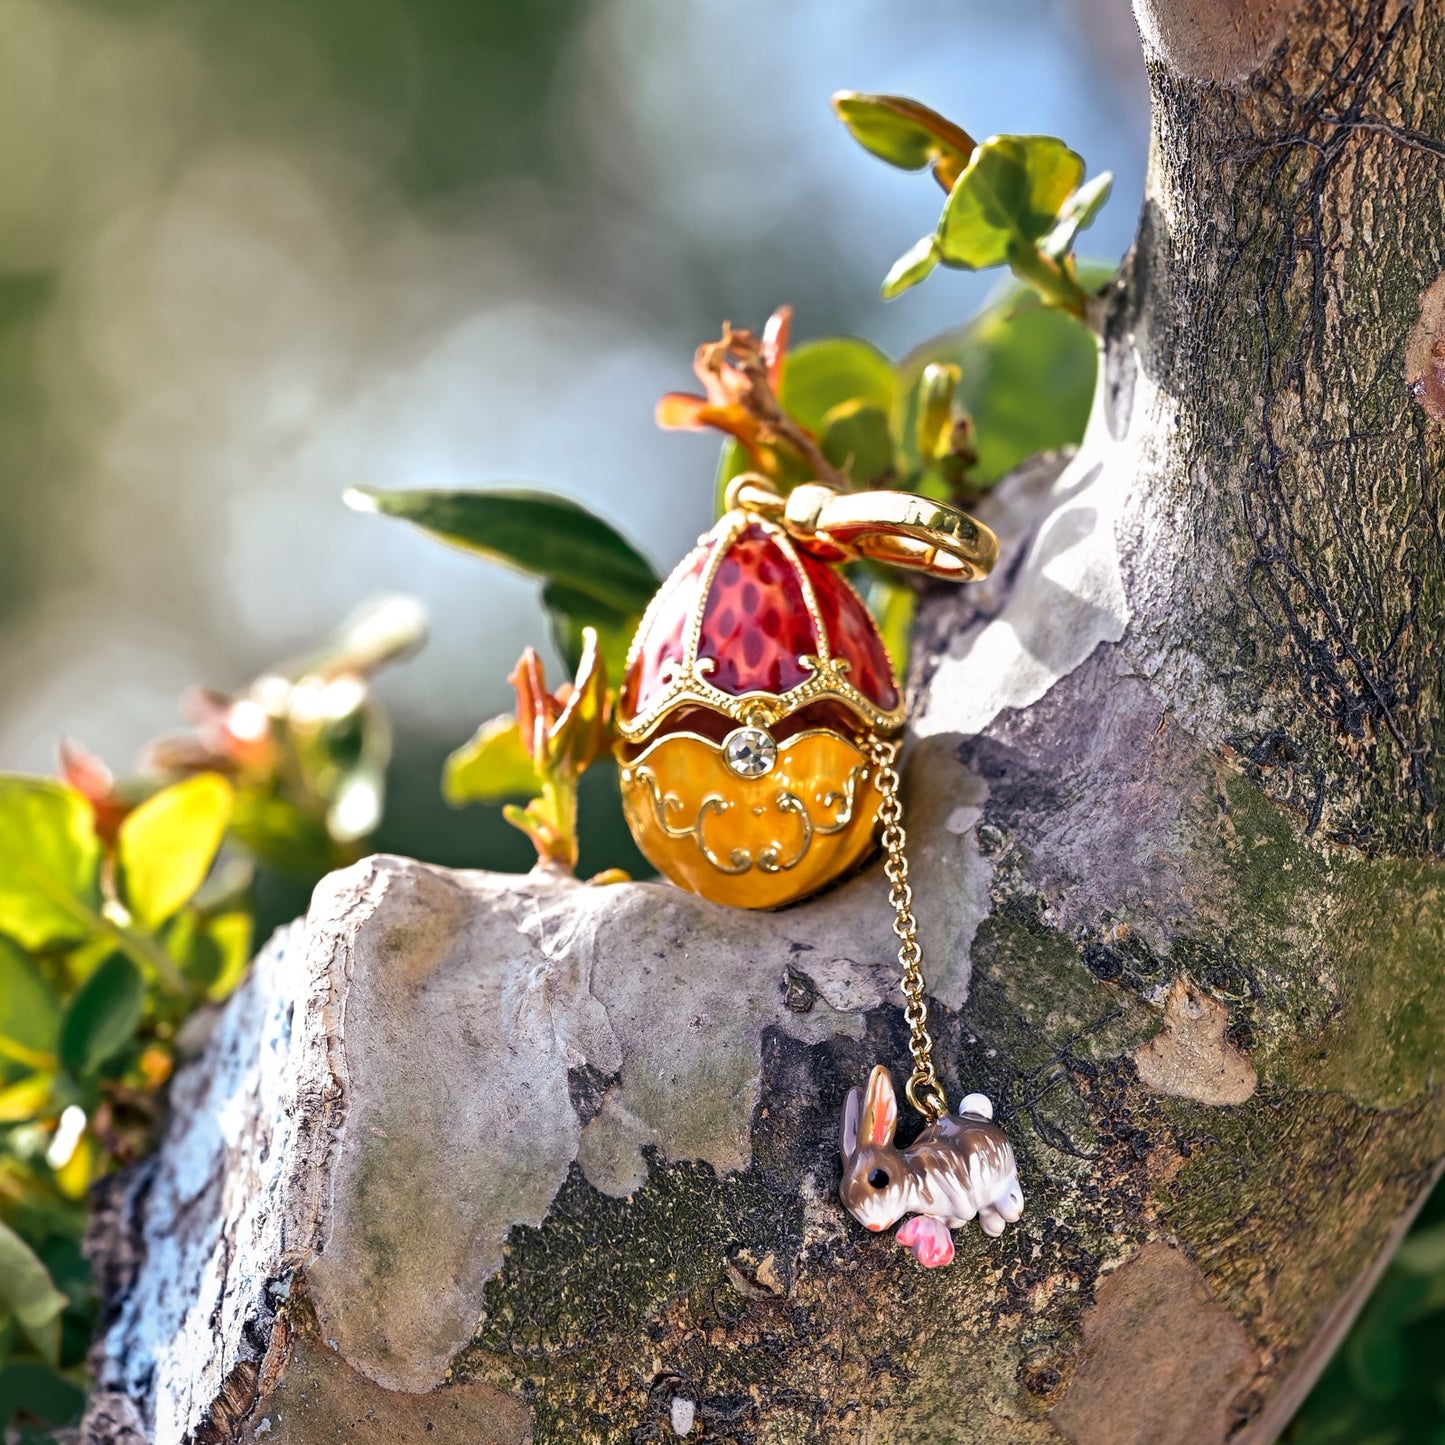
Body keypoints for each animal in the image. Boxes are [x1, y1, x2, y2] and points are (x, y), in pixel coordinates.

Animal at [839, 1065, 1024, 1267]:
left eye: (879, 1178)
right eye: (845, 1199)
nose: (875, 1226)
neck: (913, 1176)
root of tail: (978, 1117)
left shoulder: (949, 1173)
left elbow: (965, 1207)